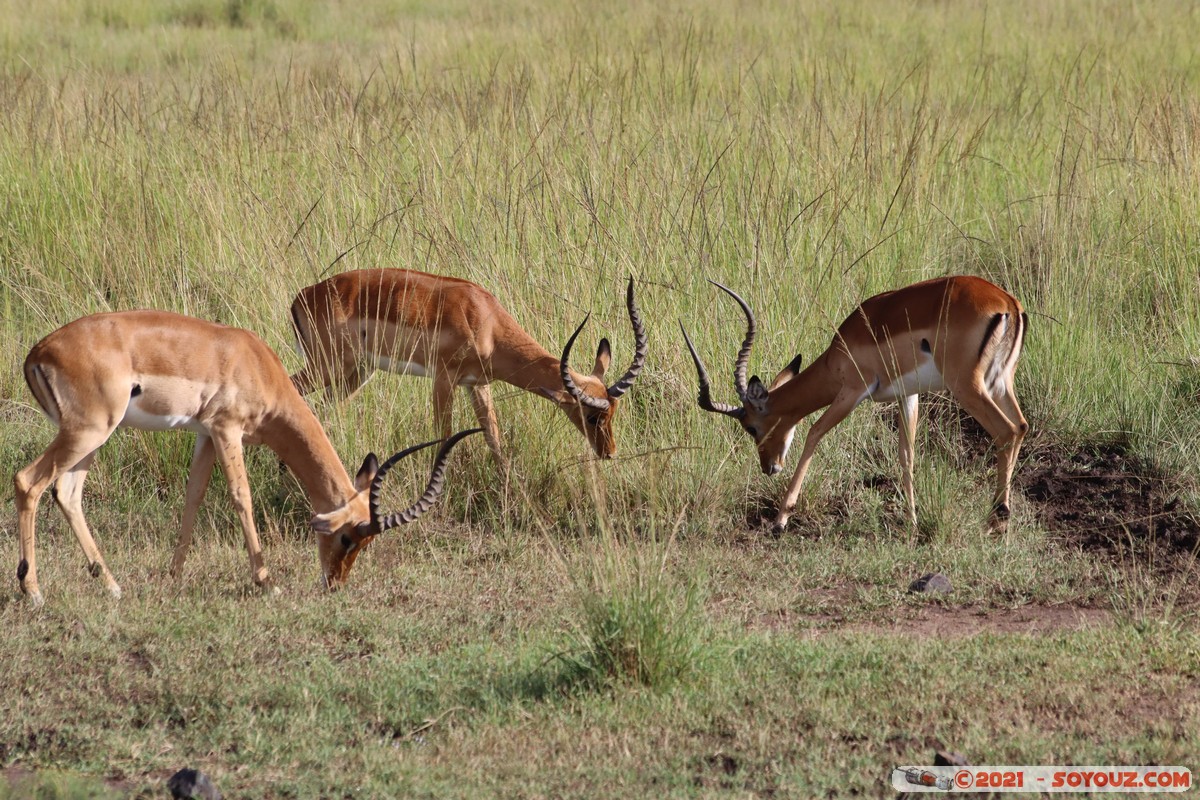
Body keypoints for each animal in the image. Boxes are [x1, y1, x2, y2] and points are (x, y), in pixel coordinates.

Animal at [13, 309, 481, 606]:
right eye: (349, 537)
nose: (334, 583)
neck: (253, 362)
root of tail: (38, 352)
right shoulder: (227, 429)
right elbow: (242, 497)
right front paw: (266, 582)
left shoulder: (204, 436)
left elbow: (194, 497)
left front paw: (174, 576)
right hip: (88, 432)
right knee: (27, 482)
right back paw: (33, 592)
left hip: (91, 440)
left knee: (67, 494)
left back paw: (111, 586)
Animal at [289, 269, 648, 465]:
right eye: (592, 416)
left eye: (614, 412)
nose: (610, 453)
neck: (487, 321)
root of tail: (301, 297)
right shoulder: (443, 380)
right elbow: (444, 436)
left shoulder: (478, 384)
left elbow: (494, 438)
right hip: (327, 368)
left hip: (357, 373)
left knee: (320, 411)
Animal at [682, 275, 1028, 532]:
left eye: (752, 427)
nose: (770, 467)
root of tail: (1007, 303)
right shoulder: (908, 395)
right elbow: (906, 455)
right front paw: (912, 521)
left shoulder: (852, 392)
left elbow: (814, 433)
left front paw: (780, 519)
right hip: (1000, 383)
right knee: (1021, 426)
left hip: (967, 386)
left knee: (1006, 431)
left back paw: (996, 519)